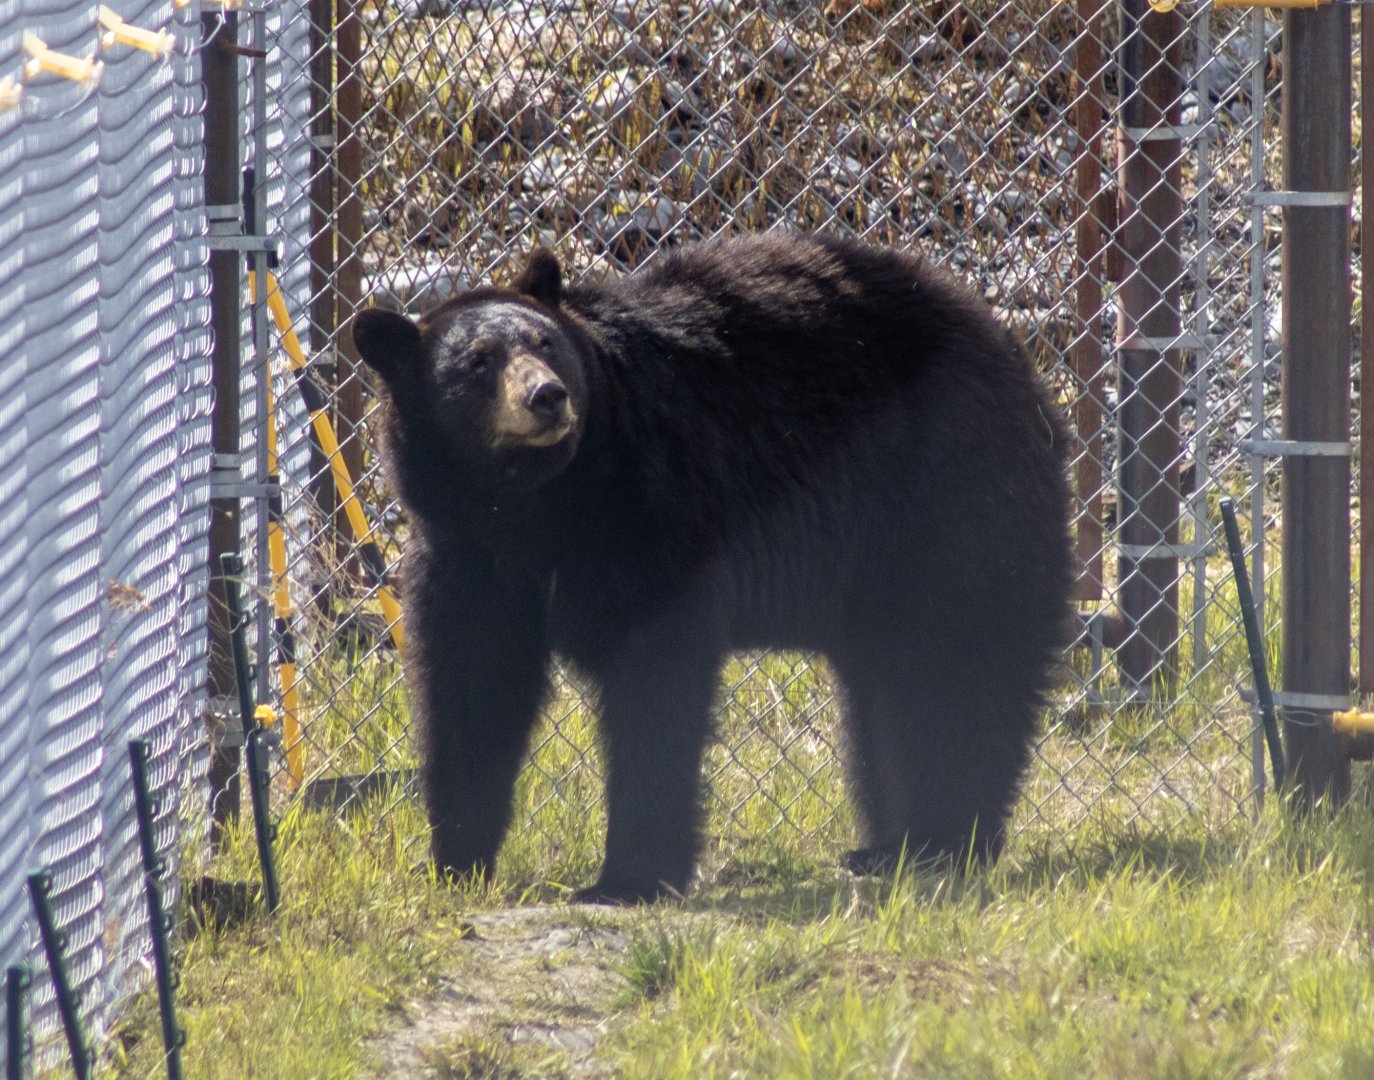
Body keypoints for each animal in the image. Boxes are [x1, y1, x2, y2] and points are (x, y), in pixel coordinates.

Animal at [351, 232, 1074, 904]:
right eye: (478, 362)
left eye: (545, 343)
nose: (547, 397)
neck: (538, 507)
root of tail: (1019, 361)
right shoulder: (466, 556)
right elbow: (472, 688)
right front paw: (453, 864)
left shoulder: (651, 505)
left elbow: (655, 680)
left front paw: (627, 878)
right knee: (883, 687)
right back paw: (886, 847)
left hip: (945, 503)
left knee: (952, 669)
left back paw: (944, 842)